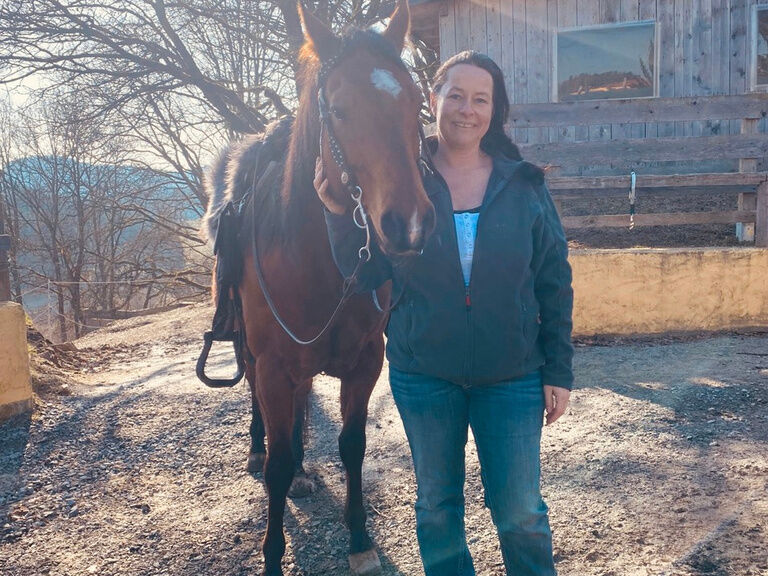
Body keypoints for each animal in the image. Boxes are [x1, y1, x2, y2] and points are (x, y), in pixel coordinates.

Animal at [202, 1, 435, 574]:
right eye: (338, 109)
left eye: (414, 101)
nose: (410, 224)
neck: (319, 261)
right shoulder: (272, 365)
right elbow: (277, 466)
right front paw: (271, 554)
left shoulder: (366, 360)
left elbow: (351, 443)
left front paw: (359, 537)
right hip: (251, 352)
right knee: (263, 414)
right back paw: (258, 448)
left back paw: (306, 470)